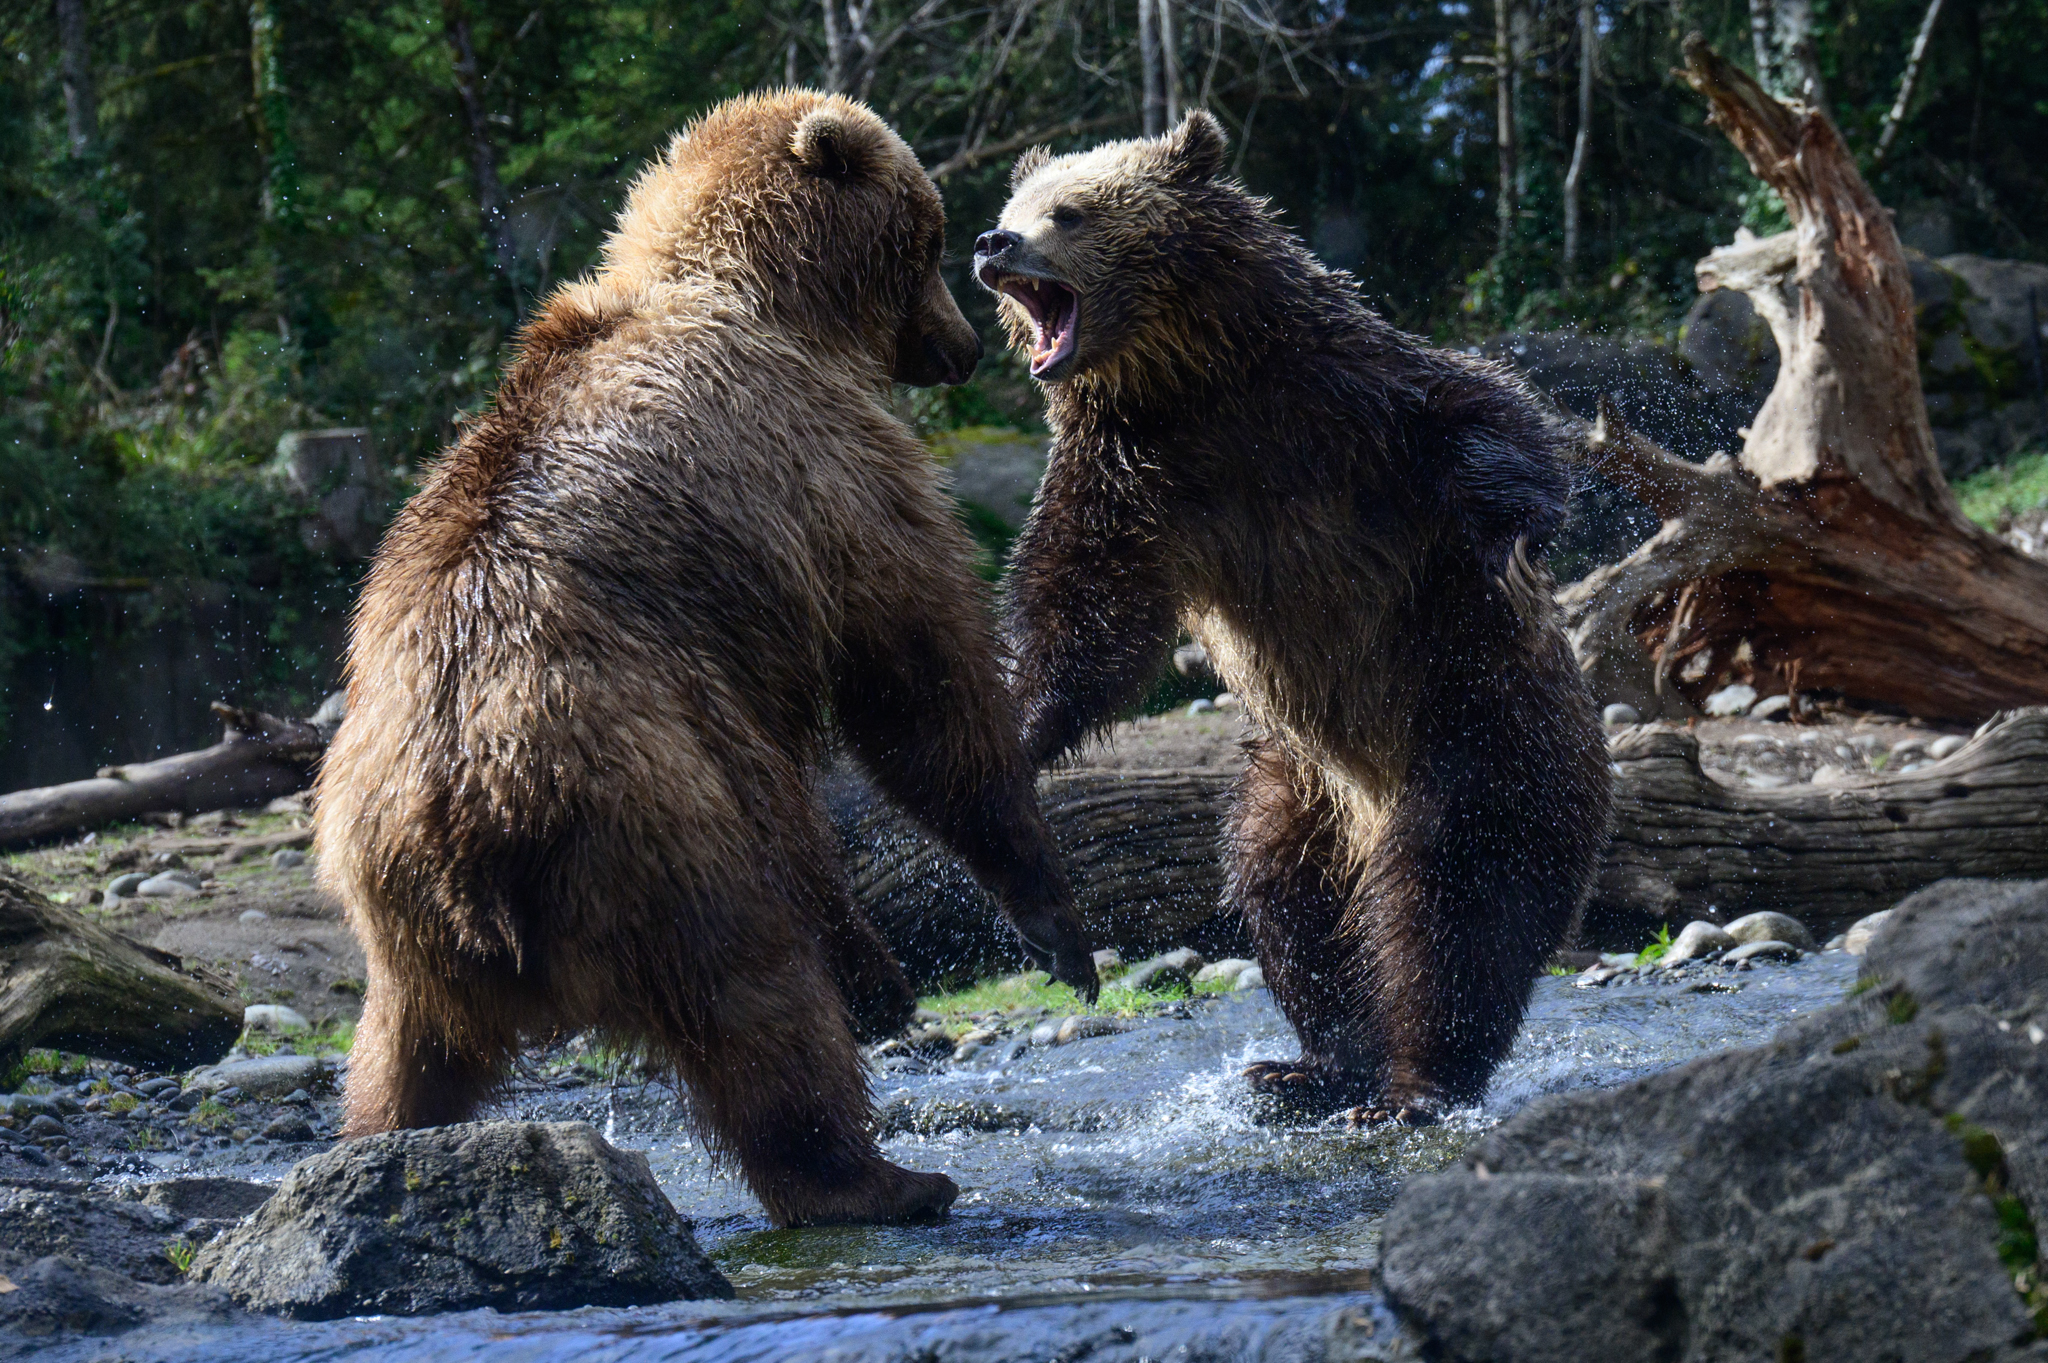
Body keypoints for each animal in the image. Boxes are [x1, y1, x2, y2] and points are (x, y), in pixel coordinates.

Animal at [314, 90, 1098, 1228]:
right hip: (650, 809)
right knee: (754, 989)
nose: (955, 346)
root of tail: (461, 822)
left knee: (403, 1046)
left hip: (395, 900)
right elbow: (916, 676)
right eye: (932, 234)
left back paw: (376, 1144)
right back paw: (880, 1174)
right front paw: (1052, 919)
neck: (763, 294)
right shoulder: (830, 469)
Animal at [971, 111, 1612, 1123]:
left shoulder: (1349, 402)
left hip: (1479, 727)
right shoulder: (1136, 480)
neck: (1192, 377)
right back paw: (1314, 1064)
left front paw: (1513, 534)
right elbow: (1082, 617)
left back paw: (1415, 1082)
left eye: (1067, 212)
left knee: (1457, 890)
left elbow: (1492, 416)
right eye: (1017, 203)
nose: (993, 243)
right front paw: (1021, 729)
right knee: (1285, 891)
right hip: (1297, 775)